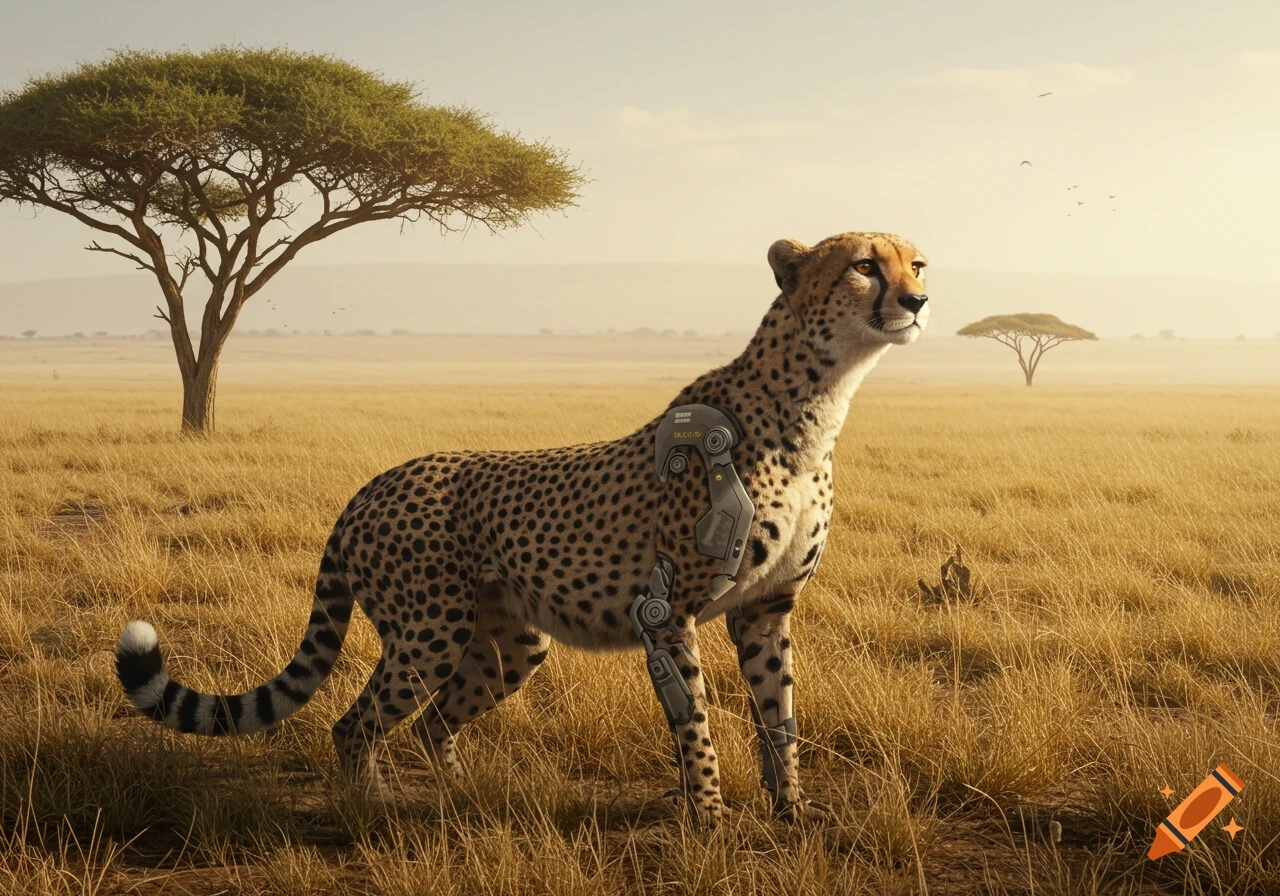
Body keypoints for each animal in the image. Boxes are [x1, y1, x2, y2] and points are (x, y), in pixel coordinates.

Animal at [116, 230, 930, 826]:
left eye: (916, 261)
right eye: (865, 266)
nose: (920, 299)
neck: (815, 404)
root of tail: (377, 482)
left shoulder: (765, 609)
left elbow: (779, 713)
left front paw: (792, 811)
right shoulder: (668, 613)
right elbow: (696, 721)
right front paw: (708, 819)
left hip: (509, 643)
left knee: (431, 723)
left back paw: (459, 796)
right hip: (429, 631)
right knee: (356, 724)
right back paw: (369, 809)